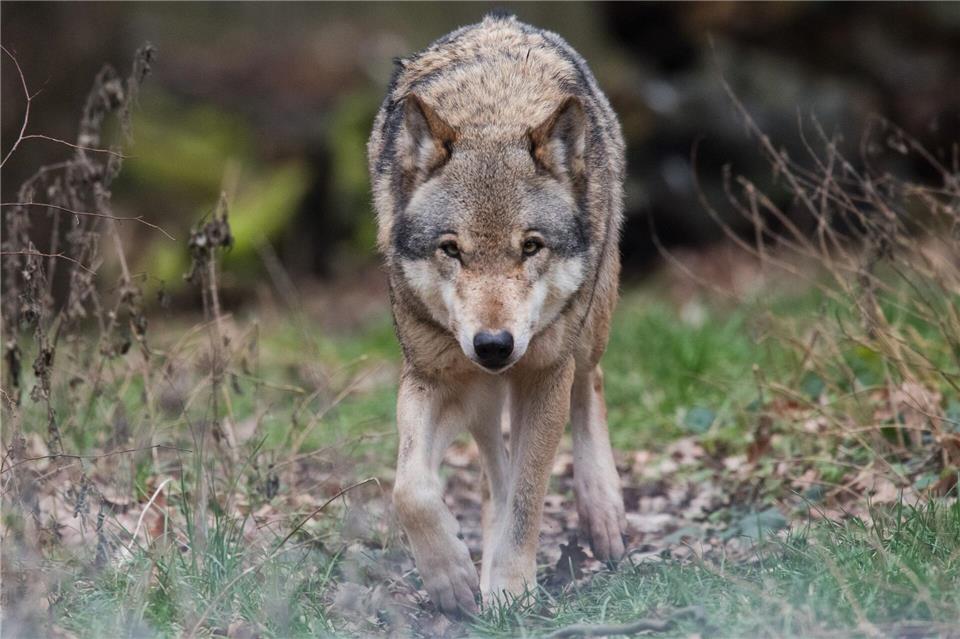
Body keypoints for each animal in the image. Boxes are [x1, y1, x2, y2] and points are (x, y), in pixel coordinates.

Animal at [368, 13, 626, 615]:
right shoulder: (433, 375)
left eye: (530, 247)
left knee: (591, 384)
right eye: (451, 249)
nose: (493, 345)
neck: (493, 112)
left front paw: (509, 587)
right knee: (492, 464)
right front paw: (453, 578)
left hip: (586, 331)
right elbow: (410, 489)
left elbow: (529, 499)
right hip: (479, 392)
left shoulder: (544, 375)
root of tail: (502, 21)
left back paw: (603, 515)